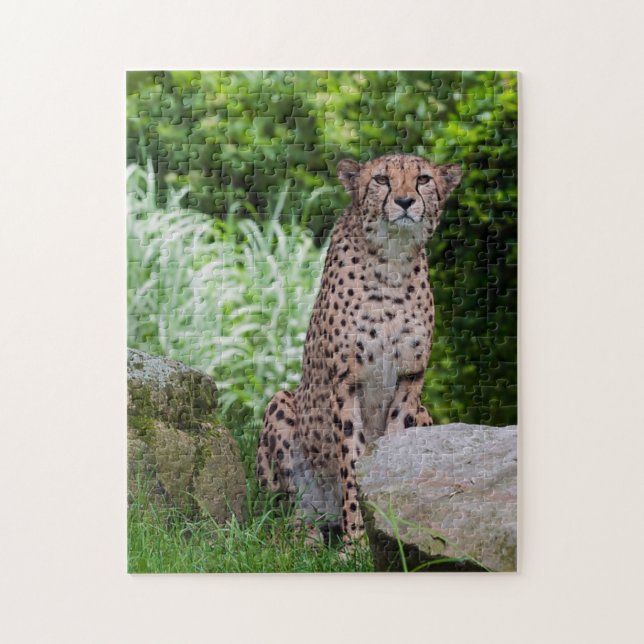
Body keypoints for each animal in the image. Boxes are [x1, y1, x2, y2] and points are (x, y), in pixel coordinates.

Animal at [256, 153, 462, 547]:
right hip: (282, 406)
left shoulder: (410, 379)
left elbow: (392, 452)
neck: (392, 262)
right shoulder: (346, 382)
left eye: (423, 179)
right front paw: (357, 545)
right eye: (381, 179)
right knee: (284, 514)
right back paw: (306, 534)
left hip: (425, 414)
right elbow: (352, 462)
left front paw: (388, 526)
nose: (404, 201)